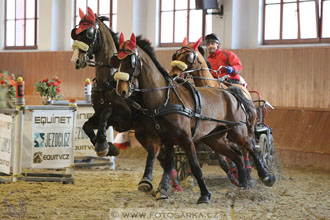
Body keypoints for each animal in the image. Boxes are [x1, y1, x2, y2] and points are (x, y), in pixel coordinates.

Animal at [113, 33, 276, 205]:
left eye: (131, 61)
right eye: (117, 60)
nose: (121, 90)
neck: (165, 98)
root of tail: (231, 92)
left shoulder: (187, 139)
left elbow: (195, 166)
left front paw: (204, 194)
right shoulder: (165, 139)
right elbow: (163, 162)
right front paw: (155, 186)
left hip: (238, 131)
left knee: (251, 147)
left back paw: (266, 177)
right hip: (214, 139)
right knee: (237, 156)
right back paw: (243, 186)